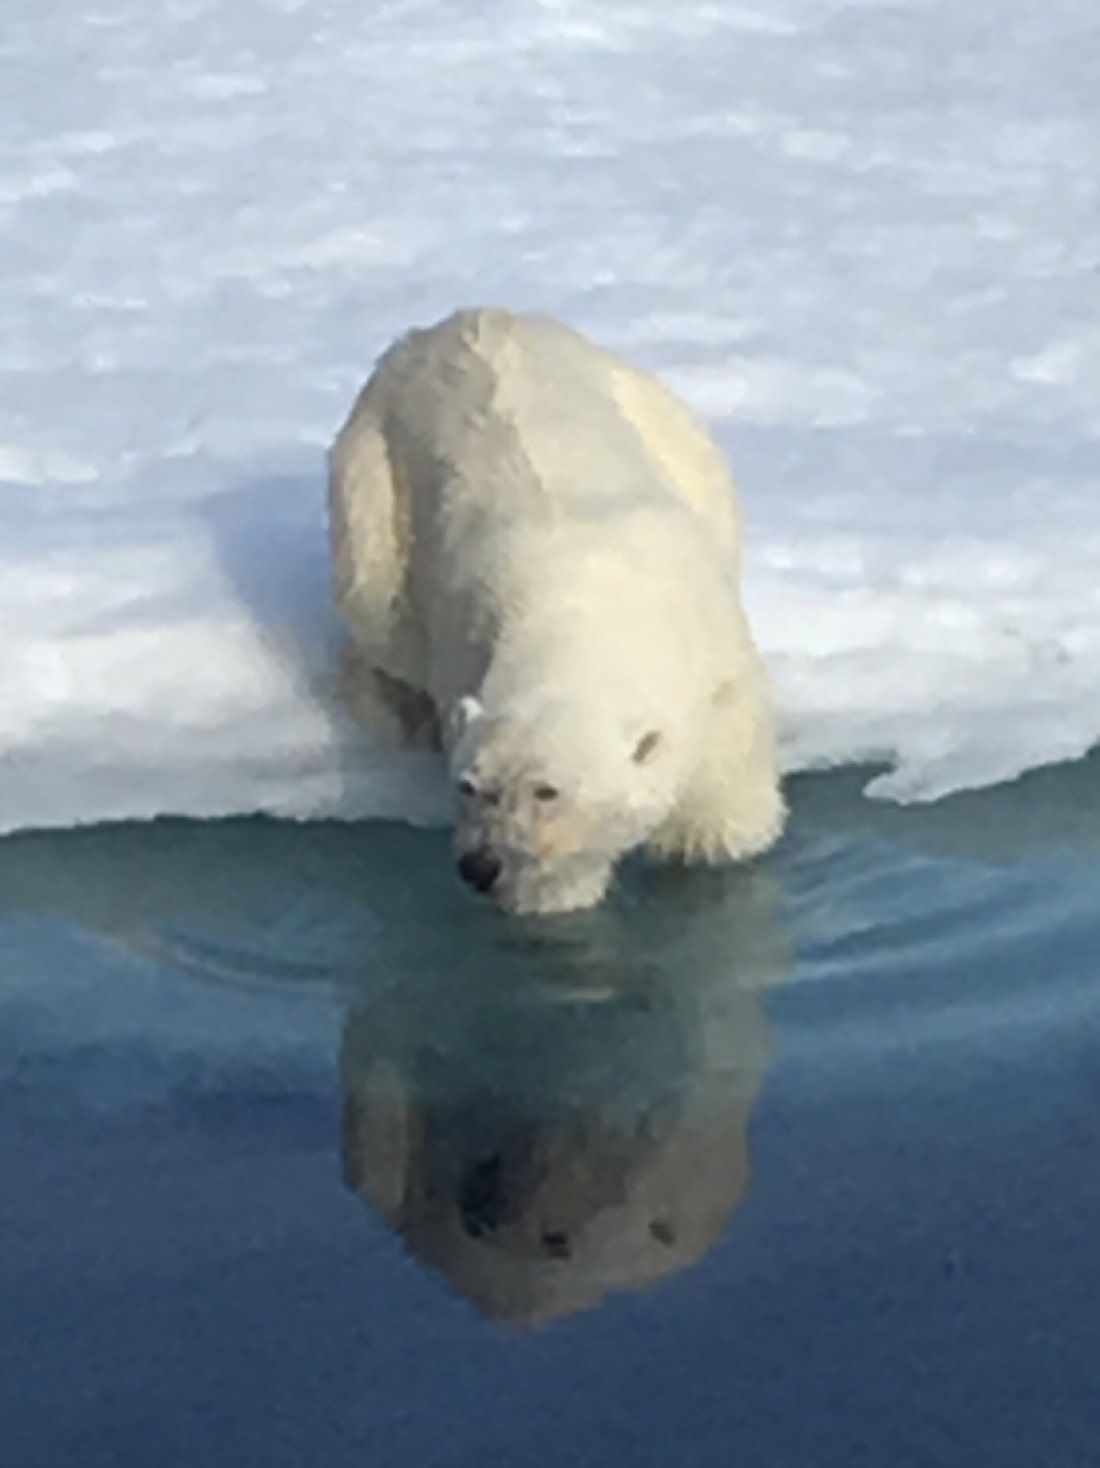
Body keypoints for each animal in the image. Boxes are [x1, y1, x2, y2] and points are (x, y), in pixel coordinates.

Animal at [327, 307, 785, 914]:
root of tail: (457, 321)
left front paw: (703, 842)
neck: (579, 610)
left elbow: (722, 794)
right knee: (376, 610)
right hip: (373, 476)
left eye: (548, 790)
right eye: (469, 786)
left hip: (658, 416)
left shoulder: (717, 658)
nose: (481, 865)